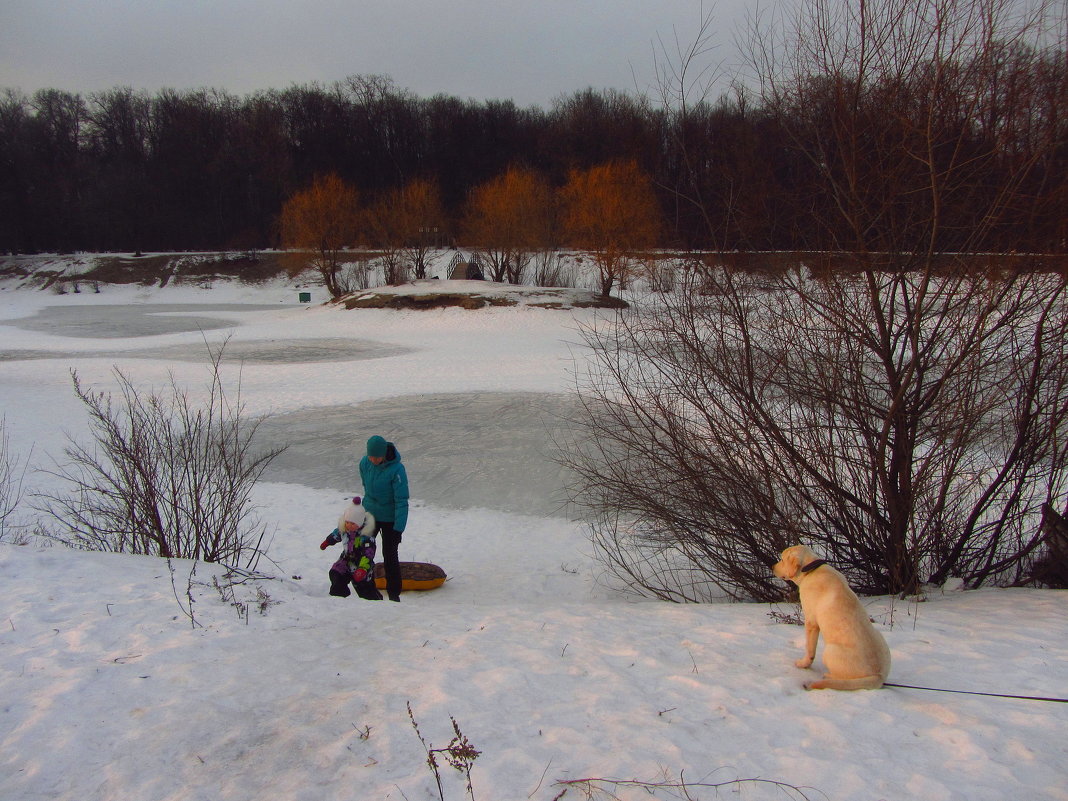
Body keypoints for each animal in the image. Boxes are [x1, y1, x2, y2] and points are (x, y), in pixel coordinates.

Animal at [773, 551, 888, 692]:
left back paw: (827, 676)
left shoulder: (811, 622)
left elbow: (810, 650)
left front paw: (803, 664)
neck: (811, 570)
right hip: (879, 635)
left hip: (829, 650)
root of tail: (878, 677)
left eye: (782, 560)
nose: (772, 567)